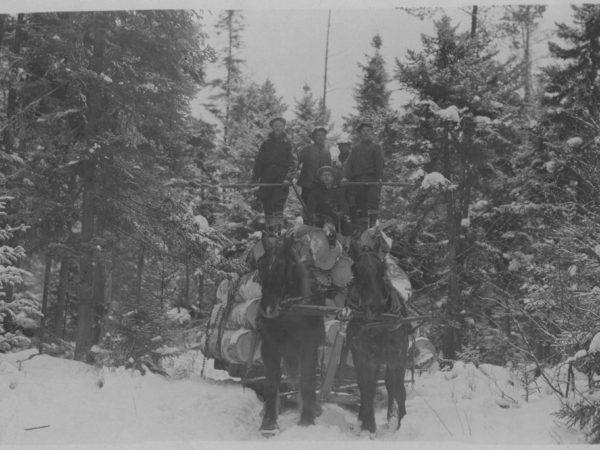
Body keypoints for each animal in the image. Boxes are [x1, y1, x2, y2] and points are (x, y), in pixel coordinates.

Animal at [255, 230, 326, 434]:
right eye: (260, 266)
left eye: (283, 267)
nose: (267, 309)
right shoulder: (270, 347)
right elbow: (272, 382)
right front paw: (269, 423)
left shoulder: (309, 346)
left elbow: (307, 380)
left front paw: (307, 419)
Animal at [344, 239, 410, 432]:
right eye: (355, 270)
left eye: (382, 268)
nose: (375, 306)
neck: (380, 324)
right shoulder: (364, 358)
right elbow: (367, 390)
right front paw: (369, 427)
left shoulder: (399, 357)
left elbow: (399, 390)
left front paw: (401, 423)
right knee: (365, 388)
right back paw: (362, 420)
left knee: (389, 384)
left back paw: (390, 417)